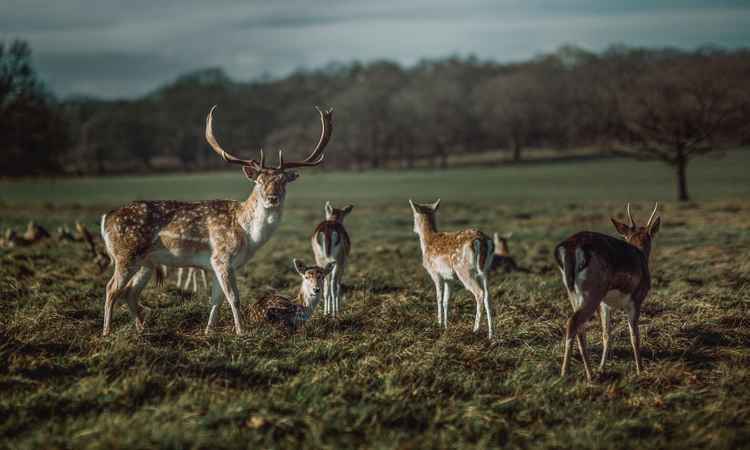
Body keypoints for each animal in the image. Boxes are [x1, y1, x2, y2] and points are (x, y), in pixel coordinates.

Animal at [98, 105, 334, 336]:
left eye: (283, 181)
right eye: (259, 181)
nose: (272, 198)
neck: (247, 233)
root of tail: (106, 218)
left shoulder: (216, 264)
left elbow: (216, 300)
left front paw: (208, 331)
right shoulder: (221, 257)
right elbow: (234, 297)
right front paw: (241, 332)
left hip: (146, 262)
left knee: (129, 292)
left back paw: (142, 330)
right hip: (125, 254)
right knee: (111, 288)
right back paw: (107, 332)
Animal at [412, 199, 500, 340]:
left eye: (414, 216)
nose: (414, 229)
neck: (427, 242)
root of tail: (483, 241)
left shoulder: (435, 273)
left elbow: (439, 298)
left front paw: (439, 324)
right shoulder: (449, 278)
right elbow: (446, 300)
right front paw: (446, 327)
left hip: (464, 270)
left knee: (479, 293)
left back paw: (475, 330)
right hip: (486, 270)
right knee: (488, 295)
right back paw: (491, 334)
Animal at [552, 202, 664, 382]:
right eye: (649, 237)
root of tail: (570, 249)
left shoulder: (605, 304)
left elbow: (606, 335)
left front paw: (602, 369)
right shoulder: (636, 298)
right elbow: (634, 335)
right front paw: (640, 370)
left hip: (573, 293)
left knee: (580, 328)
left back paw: (590, 373)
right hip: (592, 292)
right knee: (573, 322)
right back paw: (566, 373)